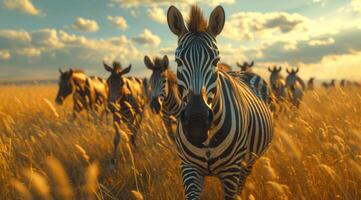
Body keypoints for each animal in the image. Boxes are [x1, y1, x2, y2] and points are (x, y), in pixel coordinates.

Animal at [166, 4, 272, 198]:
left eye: (216, 61)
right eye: (178, 61)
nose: (197, 120)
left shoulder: (232, 171)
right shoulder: (189, 168)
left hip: (249, 161)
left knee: (242, 182)